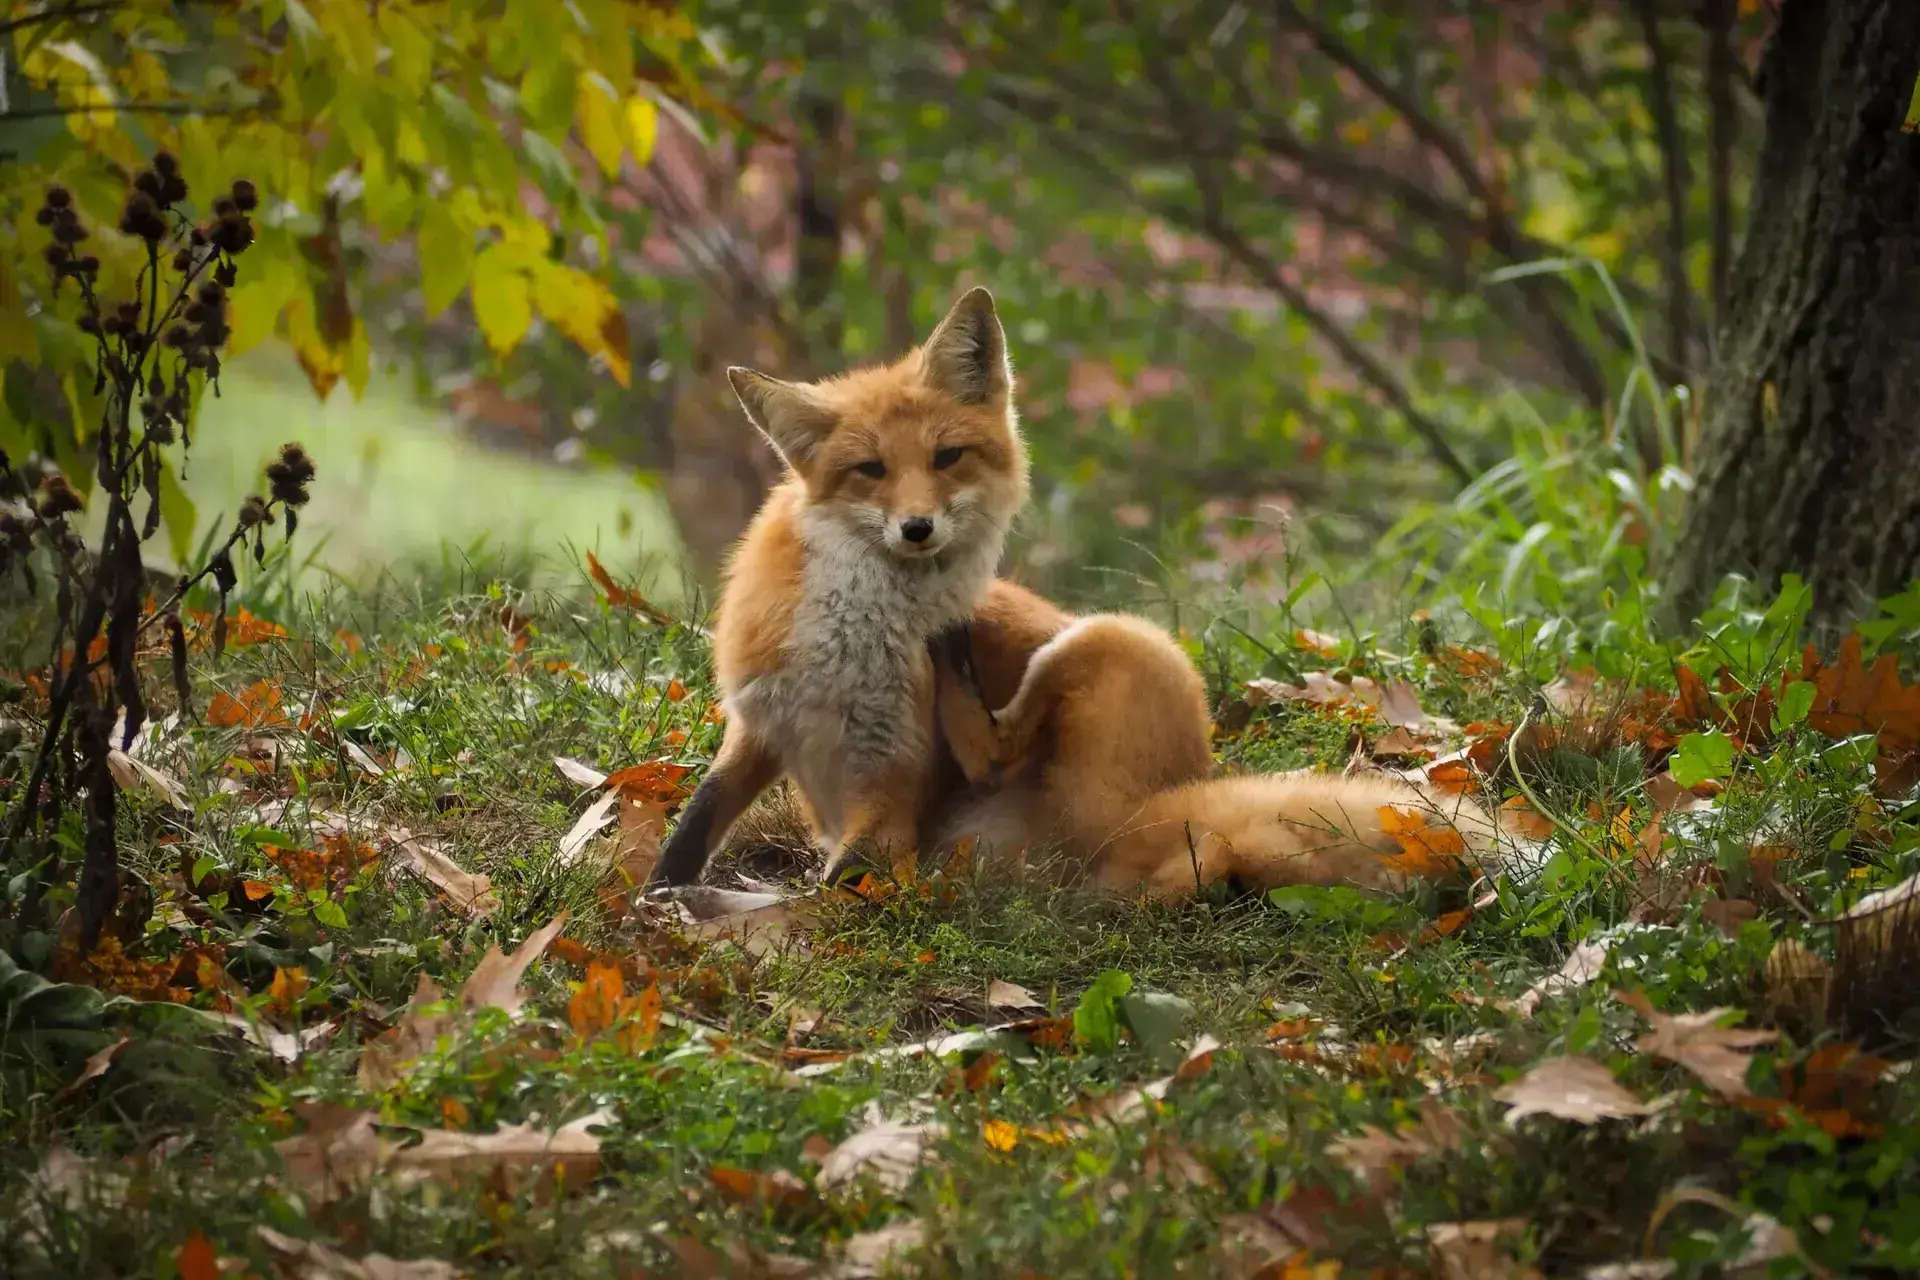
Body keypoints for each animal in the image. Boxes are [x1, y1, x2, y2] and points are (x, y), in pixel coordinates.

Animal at [648, 287, 1030, 890]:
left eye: (947, 457)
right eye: (870, 469)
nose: (917, 528)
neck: (842, 644)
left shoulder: (889, 784)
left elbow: (835, 881)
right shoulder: (759, 720)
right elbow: (696, 822)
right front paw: (656, 892)